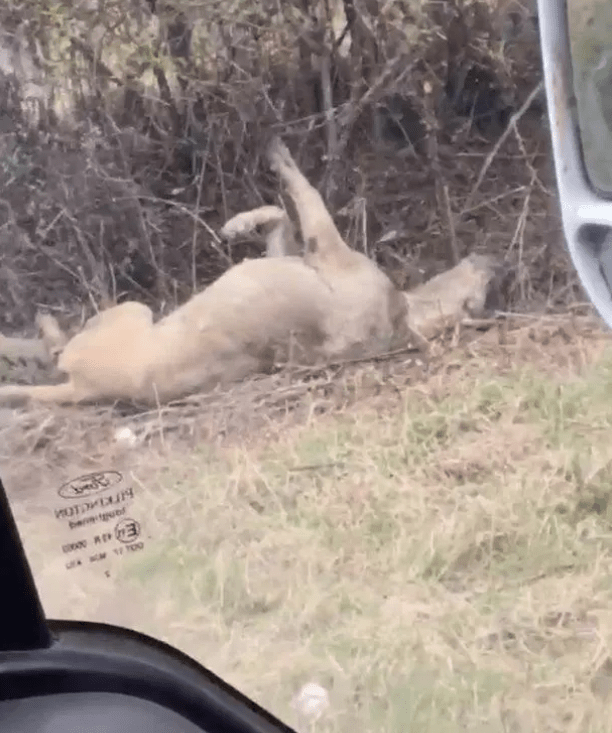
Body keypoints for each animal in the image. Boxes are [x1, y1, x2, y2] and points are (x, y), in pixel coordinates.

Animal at [1, 137, 412, 406]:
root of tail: (85, 389)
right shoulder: (295, 253)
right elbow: (281, 213)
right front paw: (242, 223)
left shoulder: (321, 245)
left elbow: (300, 189)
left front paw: (275, 163)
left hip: (130, 311)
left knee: (56, 349)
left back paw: (42, 328)